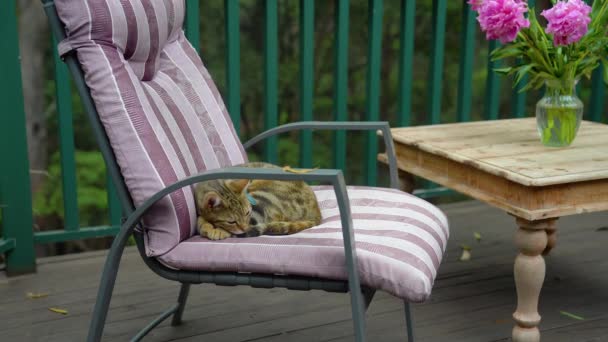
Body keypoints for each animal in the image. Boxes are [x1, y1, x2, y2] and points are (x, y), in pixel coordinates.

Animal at [197, 162, 326, 240]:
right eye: (231, 221)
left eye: (247, 213)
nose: (244, 228)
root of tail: (317, 214)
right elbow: (201, 220)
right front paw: (207, 227)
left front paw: (216, 230)